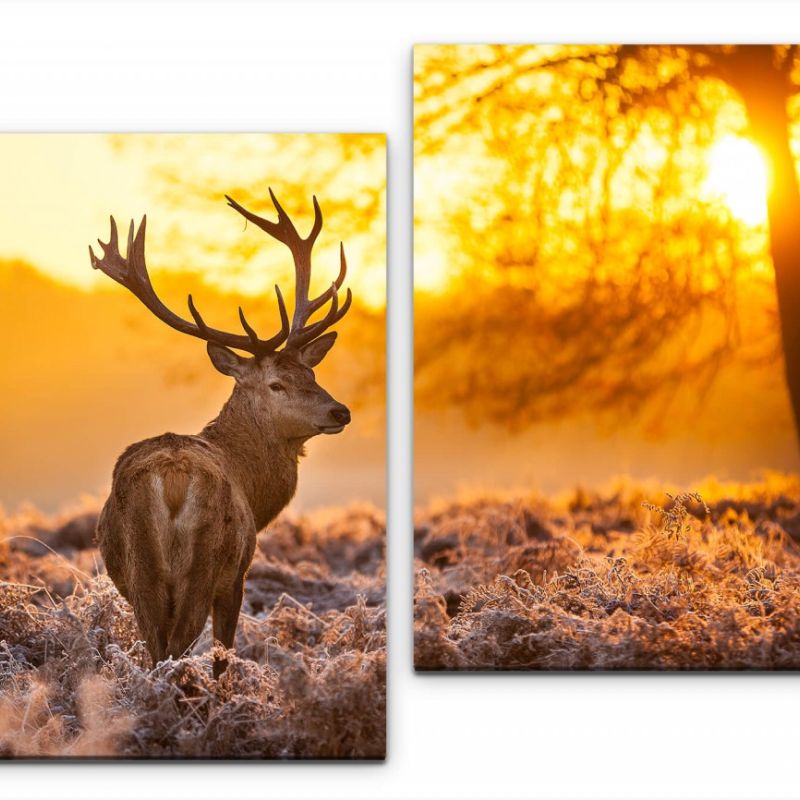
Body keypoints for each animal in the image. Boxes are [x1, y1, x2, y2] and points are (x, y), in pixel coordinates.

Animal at [89, 191, 352, 680]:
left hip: (139, 572)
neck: (253, 486)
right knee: (177, 650)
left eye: (311, 373)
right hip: (204, 565)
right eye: (277, 384)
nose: (339, 410)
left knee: (157, 650)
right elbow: (222, 656)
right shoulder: (237, 575)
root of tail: (172, 480)